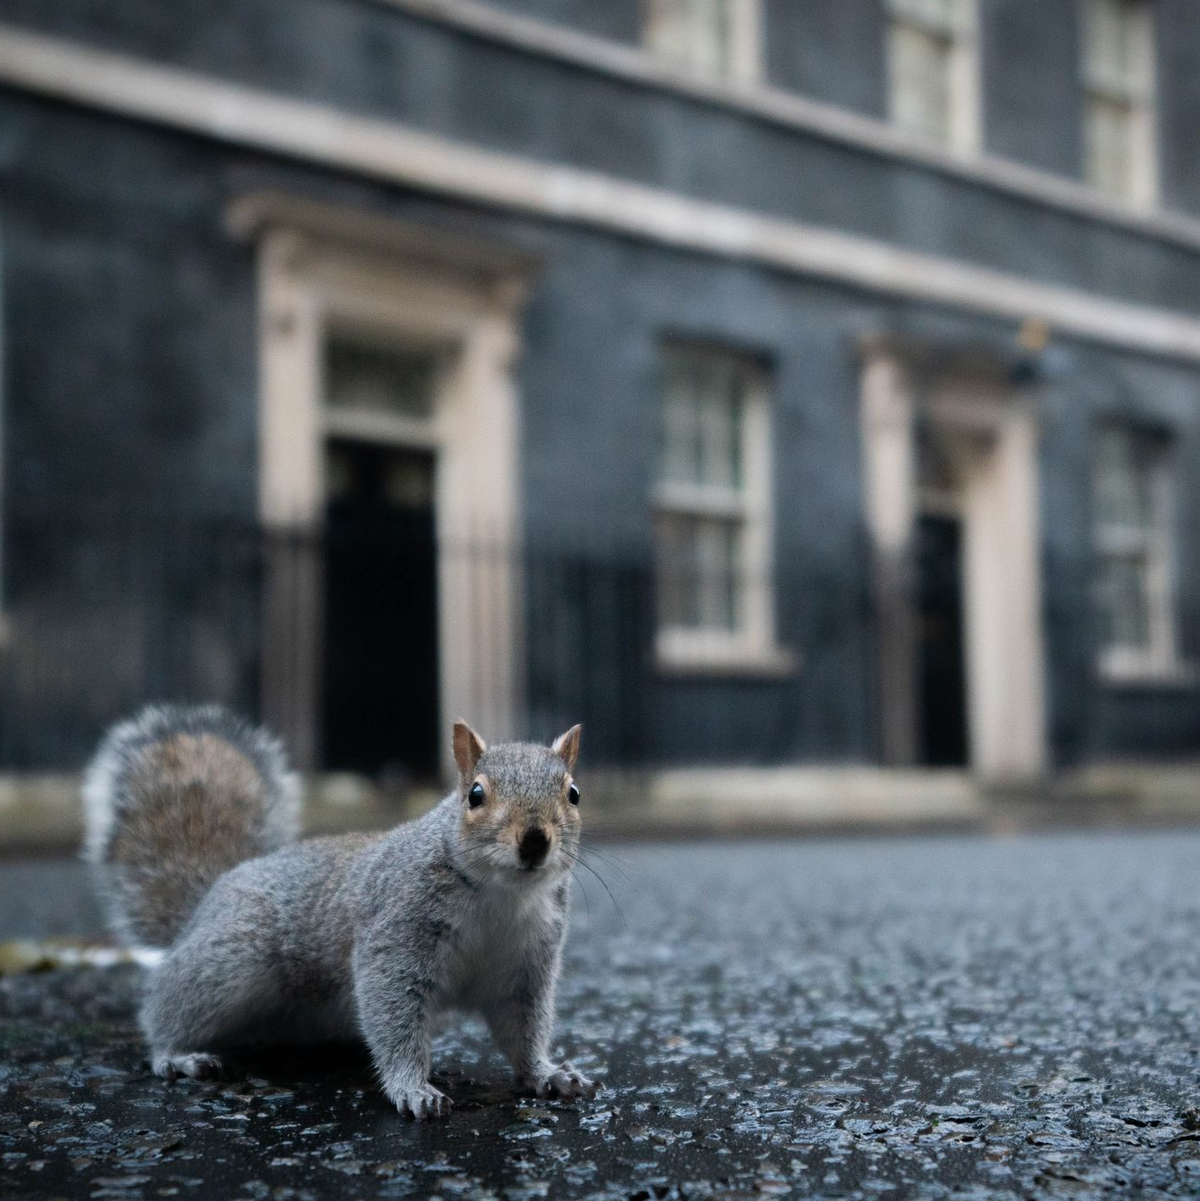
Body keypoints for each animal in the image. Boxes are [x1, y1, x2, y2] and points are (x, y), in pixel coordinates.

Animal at [82, 703, 599, 1119]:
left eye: (573, 793)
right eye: (475, 794)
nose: (534, 840)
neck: (501, 896)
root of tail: (206, 900)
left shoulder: (526, 964)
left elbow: (523, 1027)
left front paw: (547, 1073)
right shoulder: (396, 932)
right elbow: (394, 1012)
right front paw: (413, 1089)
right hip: (229, 961)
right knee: (168, 1006)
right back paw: (176, 1054)